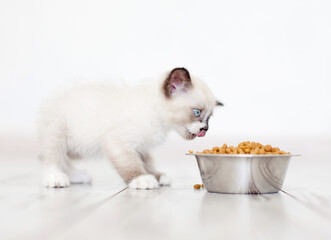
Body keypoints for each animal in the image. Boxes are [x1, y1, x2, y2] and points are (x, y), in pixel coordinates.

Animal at [39, 68, 224, 189]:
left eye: (209, 119)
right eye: (197, 112)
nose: (205, 129)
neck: (158, 117)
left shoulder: (141, 146)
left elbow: (147, 162)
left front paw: (156, 176)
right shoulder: (119, 143)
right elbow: (131, 164)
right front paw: (142, 179)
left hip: (76, 148)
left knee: (64, 159)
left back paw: (76, 176)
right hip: (58, 134)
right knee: (53, 158)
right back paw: (56, 178)